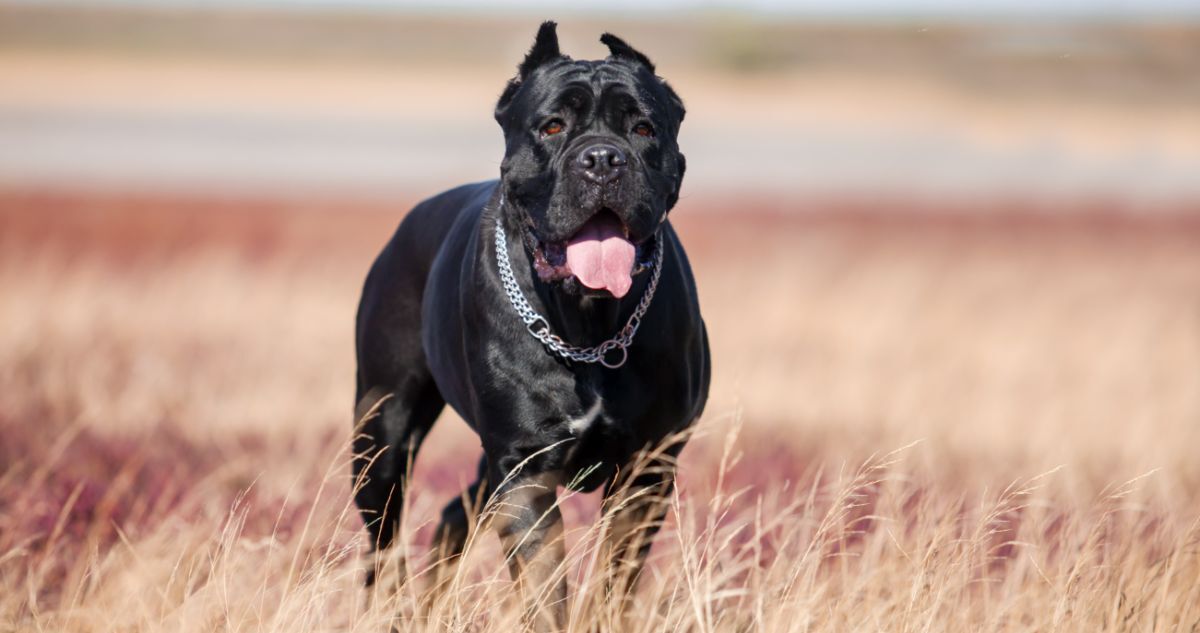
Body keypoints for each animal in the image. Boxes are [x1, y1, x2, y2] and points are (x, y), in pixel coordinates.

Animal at [350, 19, 705, 623]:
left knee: (455, 512)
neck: (589, 330)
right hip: (382, 431)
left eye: (643, 128)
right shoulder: (525, 472)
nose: (603, 159)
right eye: (553, 126)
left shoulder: (647, 471)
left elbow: (614, 584)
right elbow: (545, 596)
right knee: (384, 545)